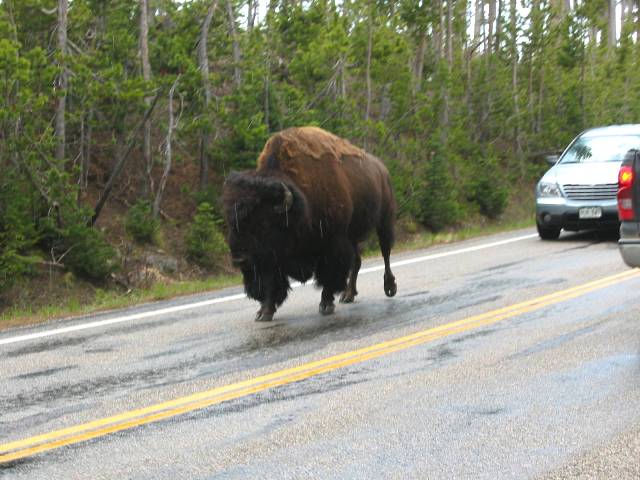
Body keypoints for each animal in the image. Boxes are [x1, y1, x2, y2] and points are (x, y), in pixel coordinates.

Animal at [222, 126, 397, 322]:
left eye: (264, 223)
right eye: (231, 222)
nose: (240, 259)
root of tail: (382, 169)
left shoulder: (332, 243)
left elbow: (329, 274)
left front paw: (326, 304)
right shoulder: (272, 259)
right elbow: (271, 281)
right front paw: (264, 312)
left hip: (384, 220)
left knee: (385, 252)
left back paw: (390, 287)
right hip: (352, 235)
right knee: (357, 261)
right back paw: (348, 295)